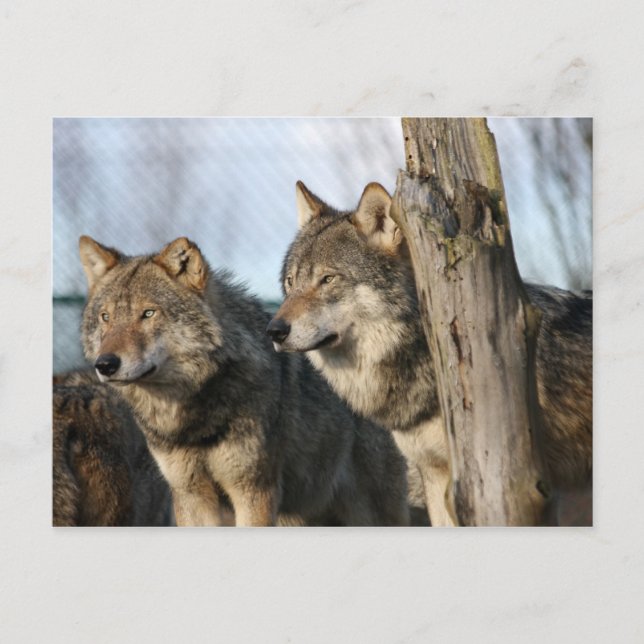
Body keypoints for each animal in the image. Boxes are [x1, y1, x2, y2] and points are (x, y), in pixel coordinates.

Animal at [267, 181, 593, 526]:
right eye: (291, 282)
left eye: (327, 279)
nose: (274, 330)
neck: (423, 345)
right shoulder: (434, 473)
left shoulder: (516, 481)